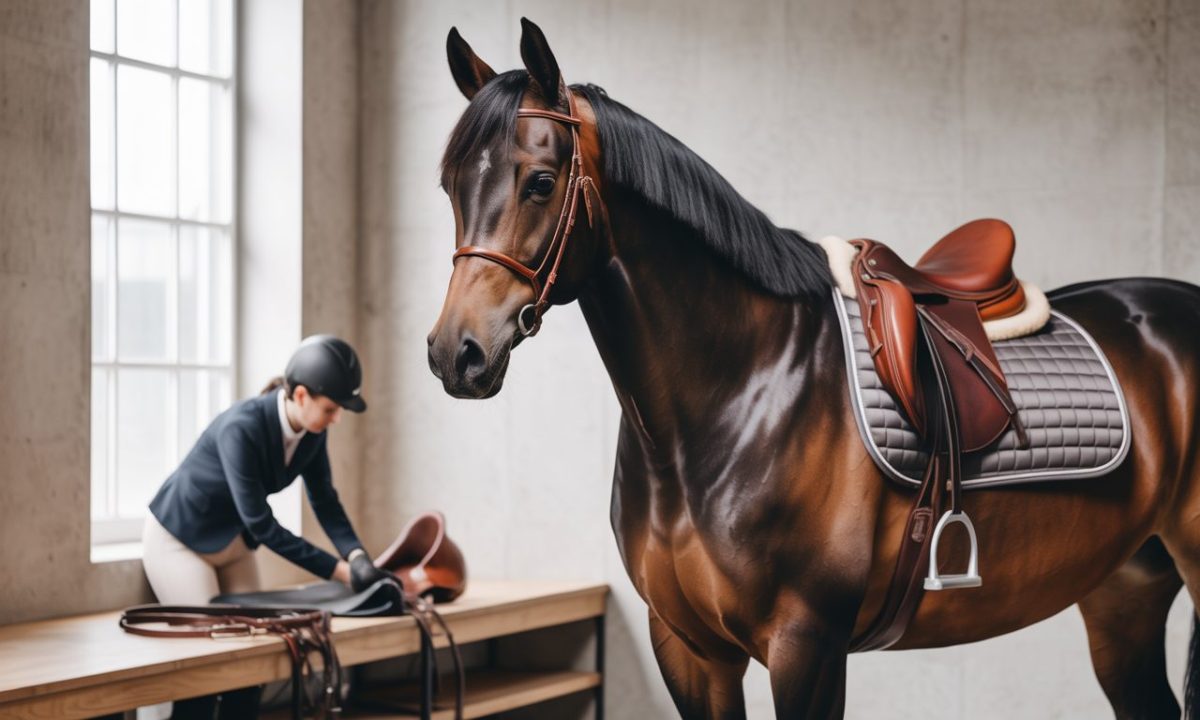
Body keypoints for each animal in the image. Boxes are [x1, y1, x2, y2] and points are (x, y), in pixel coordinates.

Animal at [426, 18, 1200, 719]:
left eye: (541, 182)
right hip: (1125, 591)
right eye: (448, 185)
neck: (738, 394)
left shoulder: (808, 645)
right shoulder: (688, 647)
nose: (454, 352)